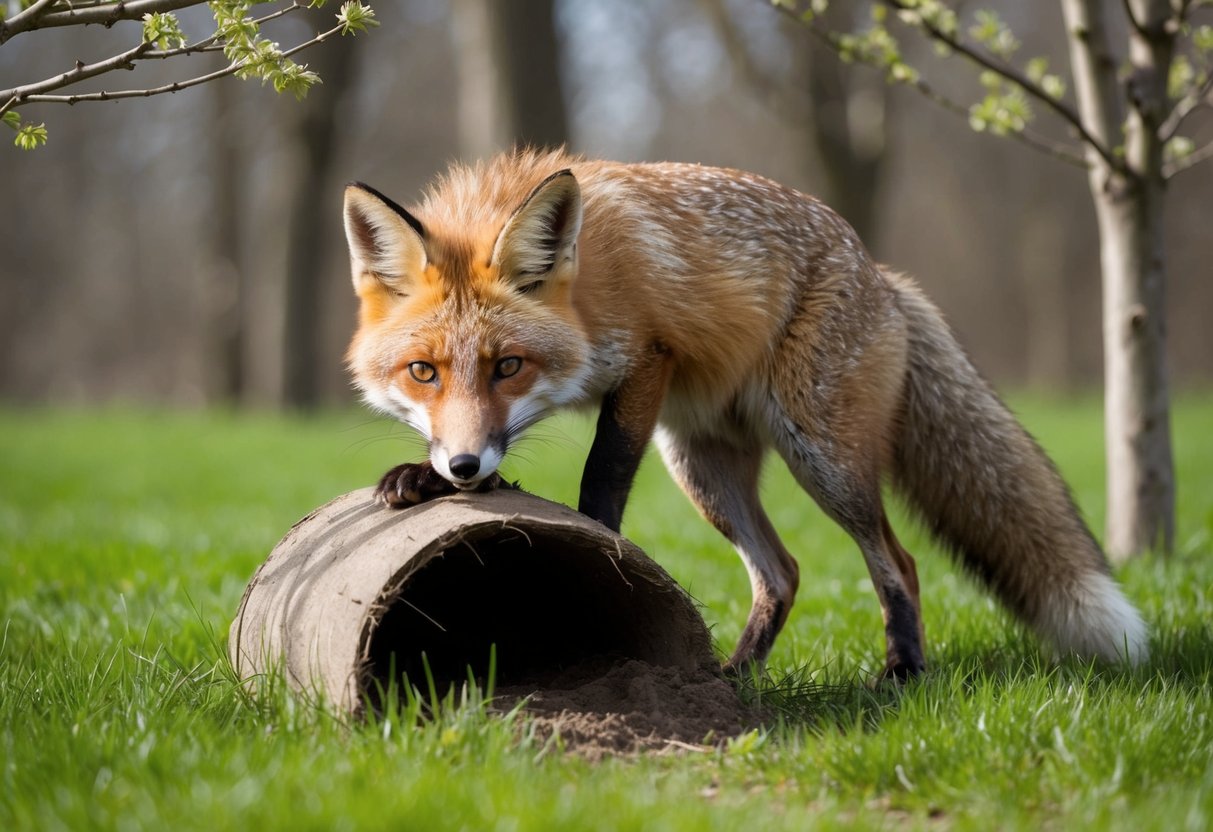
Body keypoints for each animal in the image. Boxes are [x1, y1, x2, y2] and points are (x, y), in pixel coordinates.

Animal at [341, 148, 1148, 679]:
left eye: (508, 366)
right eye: (423, 372)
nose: (462, 466)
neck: (589, 285)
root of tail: (882, 274)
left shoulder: (646, 361)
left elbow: (602, 478)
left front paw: (594, 552)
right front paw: (428, 479)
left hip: (822, 460)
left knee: (899, 562)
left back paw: (902, 672)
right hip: (703, 470)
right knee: (783, 573)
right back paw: (735, 680)